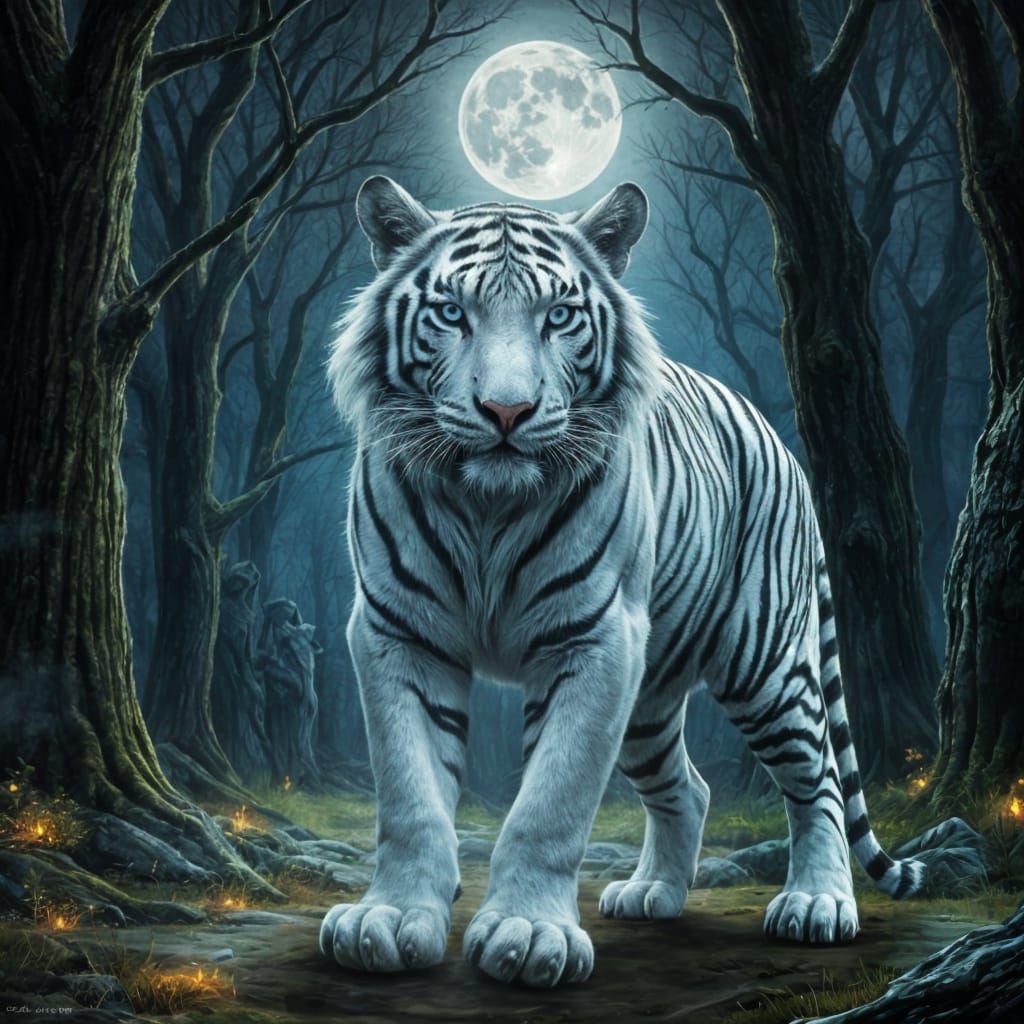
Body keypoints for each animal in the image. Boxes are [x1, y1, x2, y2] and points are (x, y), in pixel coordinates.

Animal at [319, 175, 925, 988]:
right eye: (451, 313)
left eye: (559, 316)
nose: (506, 411)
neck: (487, 509)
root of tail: (783, 443)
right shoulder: (398, 633)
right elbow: (409, 795)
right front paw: (387, 921)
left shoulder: (596, 640)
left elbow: (551, 801)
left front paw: (527, 934)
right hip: (650, 700)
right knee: (689, 789)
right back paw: (652, 895)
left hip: (764, 666)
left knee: (818, 776)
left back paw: (818, 905)